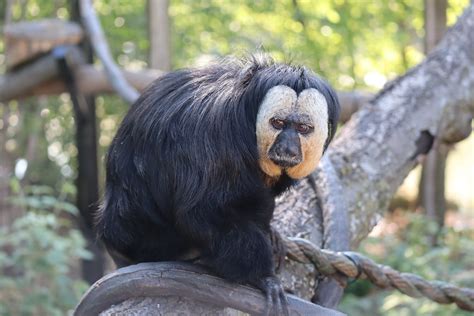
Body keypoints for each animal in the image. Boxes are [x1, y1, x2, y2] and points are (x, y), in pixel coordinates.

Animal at [96, 55, 338, 314]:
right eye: (278, 123)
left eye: (303, 128)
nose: (288, 148)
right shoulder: (213, 142)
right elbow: (202, 214)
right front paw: (263, 277)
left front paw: (271, 234)